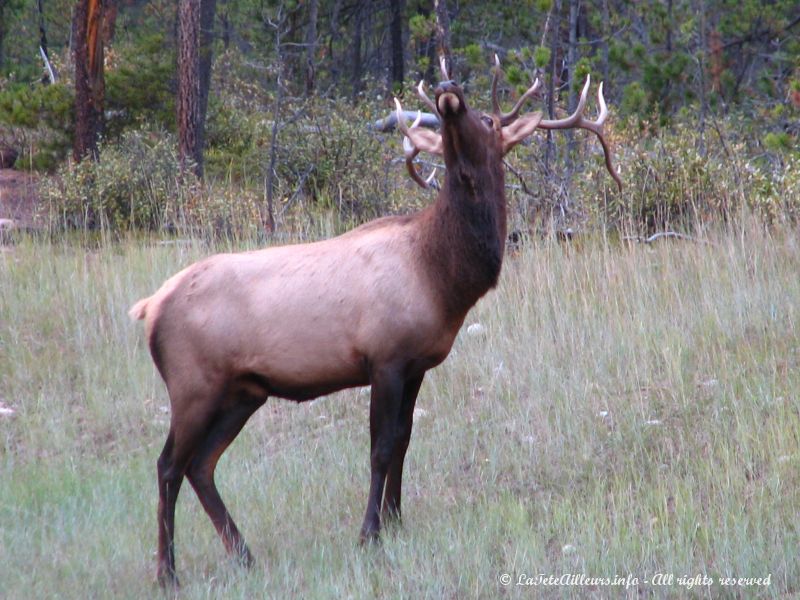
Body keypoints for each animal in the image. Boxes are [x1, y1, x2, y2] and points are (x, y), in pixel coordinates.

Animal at [130, 59, 620, 584]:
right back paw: (167, 571)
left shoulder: (417, 365)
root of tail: (151, 306)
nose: (448, 89)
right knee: (168, 466)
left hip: (244, 392)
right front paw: (369, 533)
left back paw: (243, 554)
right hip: (193, 385)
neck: (442, 276)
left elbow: (403, 441)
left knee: (201, 466)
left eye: (489, 121)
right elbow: (380, 448)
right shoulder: (384, 359)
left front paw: (397, 520)